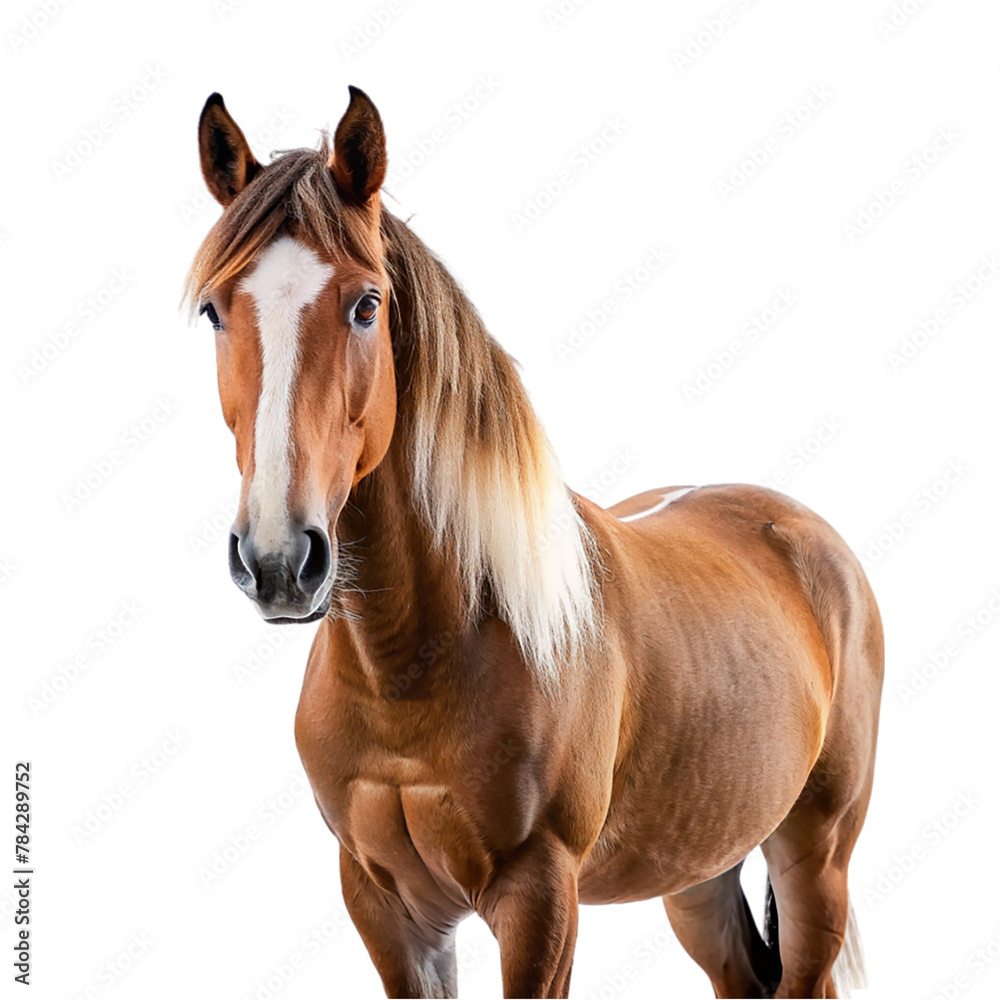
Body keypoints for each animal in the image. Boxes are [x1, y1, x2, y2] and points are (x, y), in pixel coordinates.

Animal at [186, 87, 883, 999]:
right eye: (214, 311)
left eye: (366, 303)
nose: (277, 561)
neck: (415, 662)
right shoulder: (384, 904)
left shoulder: (540, 898)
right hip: (699, 873)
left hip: (815, 858)